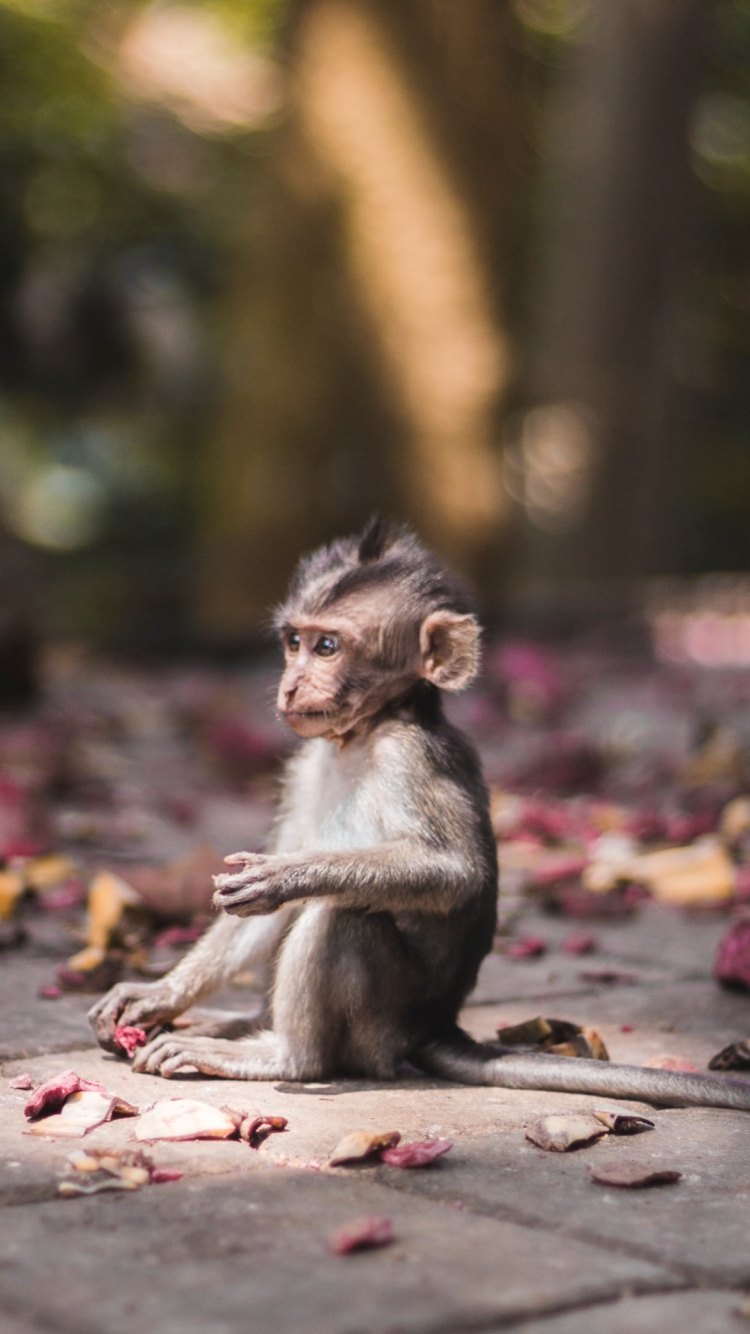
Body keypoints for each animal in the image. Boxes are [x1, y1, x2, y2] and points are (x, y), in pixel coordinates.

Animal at [89, 518, 750, 1112]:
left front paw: (287, 877)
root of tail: (435, 1024)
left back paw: (282, 1056)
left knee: (342, 916)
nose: (290, 685)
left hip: (381, 1027)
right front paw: (158, 992)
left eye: (327, 647)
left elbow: (454, 873)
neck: (363, 735)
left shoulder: (413, 758)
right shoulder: (305, 764)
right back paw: (227, 1023)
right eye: (293, 642)